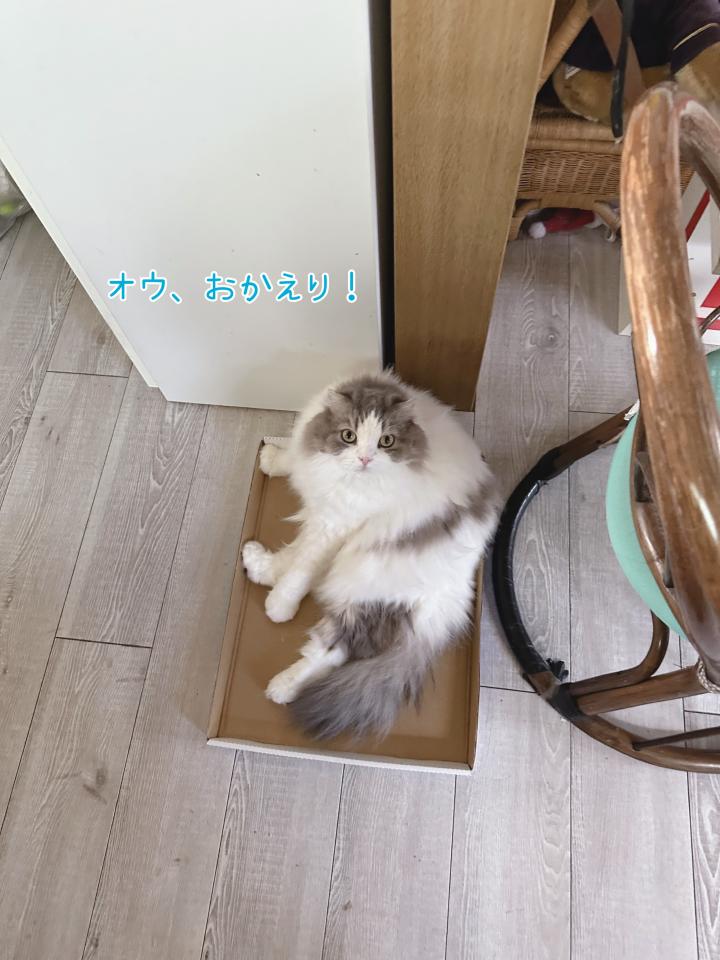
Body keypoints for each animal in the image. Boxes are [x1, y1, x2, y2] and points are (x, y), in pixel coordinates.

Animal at [242, 371, 500, 740]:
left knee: (332, 650)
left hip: (362, 595)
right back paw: (256, 563)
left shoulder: (336, 524)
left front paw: (280, 607)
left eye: (386, 441)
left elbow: (301, 570)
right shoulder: (325, 507)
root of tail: (454, 600)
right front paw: (272, 458)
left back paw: (281, 687)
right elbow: (293, 458)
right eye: (348, 436)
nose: (365, 459)